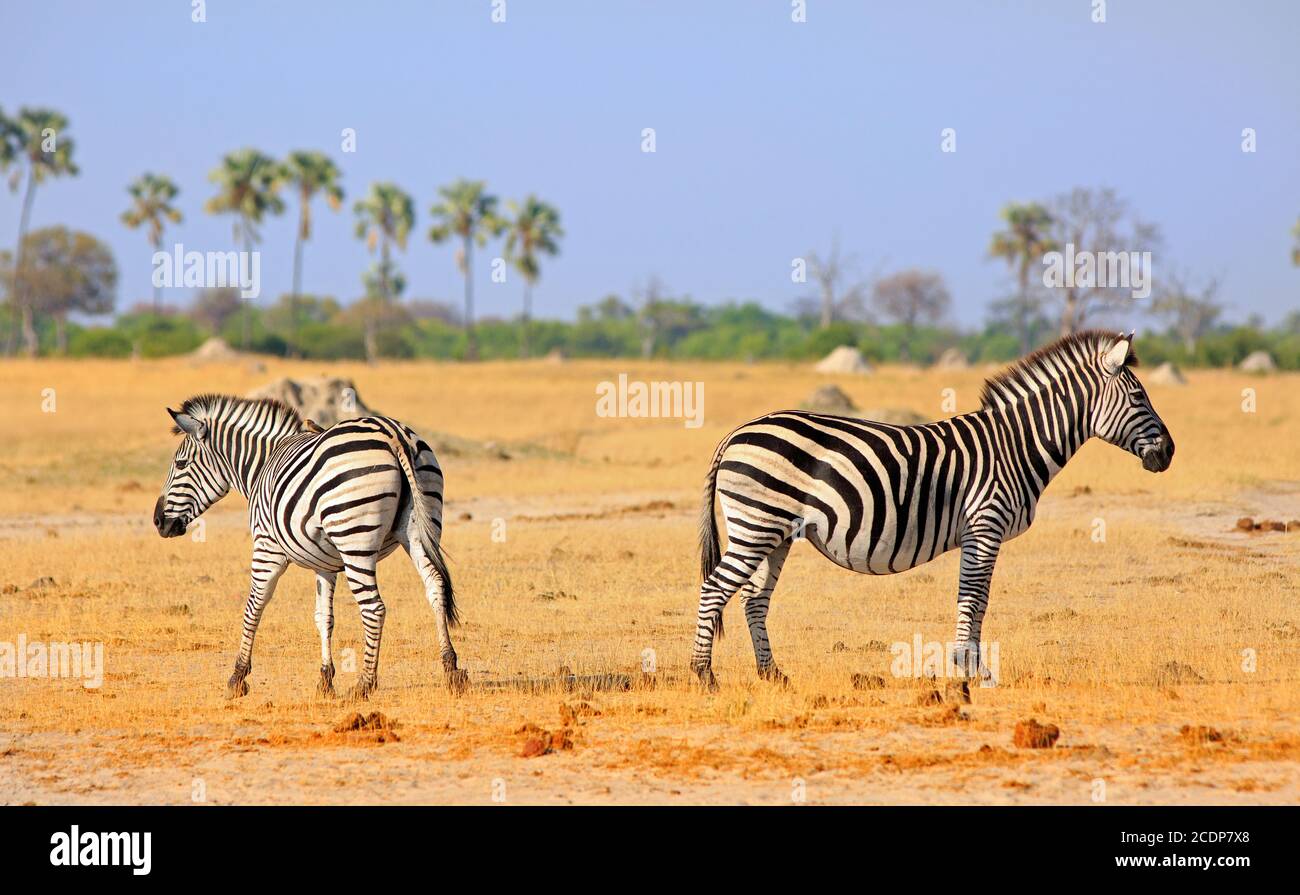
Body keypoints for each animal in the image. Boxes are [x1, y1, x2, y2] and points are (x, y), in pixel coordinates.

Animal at [152, 394, 465, 700]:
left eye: (180, 464)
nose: (158, 522)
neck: (261, 466)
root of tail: (391, 433)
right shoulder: (324, 563)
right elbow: (323, 617)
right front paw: (325, 681)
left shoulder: (266, 547)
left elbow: (254, 605)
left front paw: (237, 677)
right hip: (420, 529)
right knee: (435, 587)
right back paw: (451, 671)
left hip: (354, 539)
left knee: (374, 608)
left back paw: (364, 684)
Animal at [692, 330, 1174, 690]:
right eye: (1138, 398)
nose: (1169, 453)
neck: (1015, 446)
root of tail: (735, 433)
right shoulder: (985, 524)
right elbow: (973, 598)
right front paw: (969, 670)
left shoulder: (983, 533)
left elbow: (979, 602)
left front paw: (973, 669)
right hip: (756, 524)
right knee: (714, 589)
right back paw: (704, 676)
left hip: (775, 532)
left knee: (753, 599)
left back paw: (773, 676)